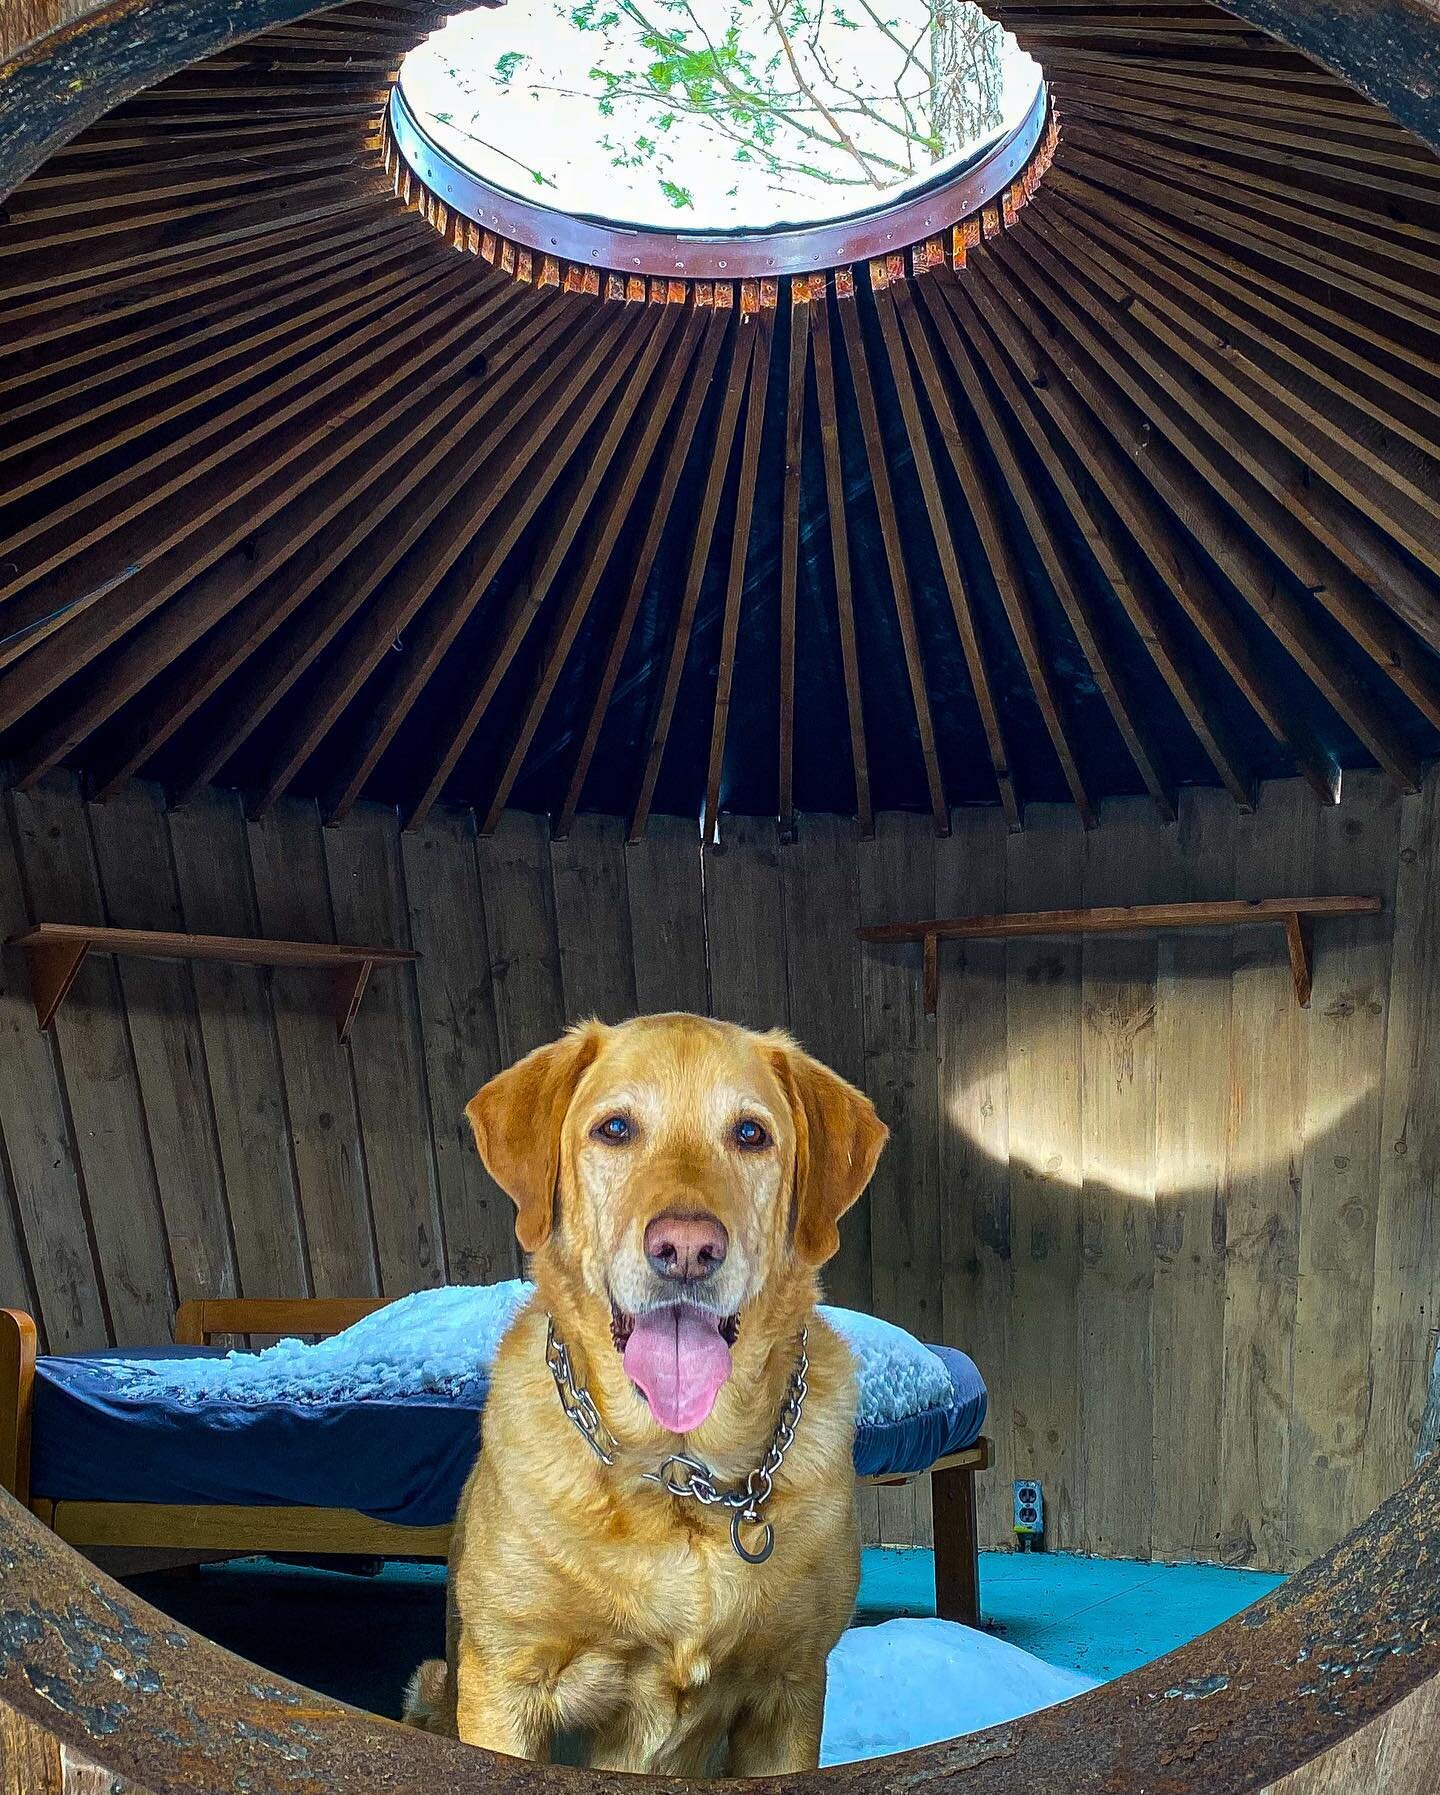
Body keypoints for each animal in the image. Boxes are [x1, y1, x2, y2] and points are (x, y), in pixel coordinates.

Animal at [398, 1019, 879, 1773]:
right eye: (616, 1128)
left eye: (750, 1134)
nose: (686, 1248)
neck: (678, 1472)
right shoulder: (504, 1681)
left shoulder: (789, 1692)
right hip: (434, 1682)